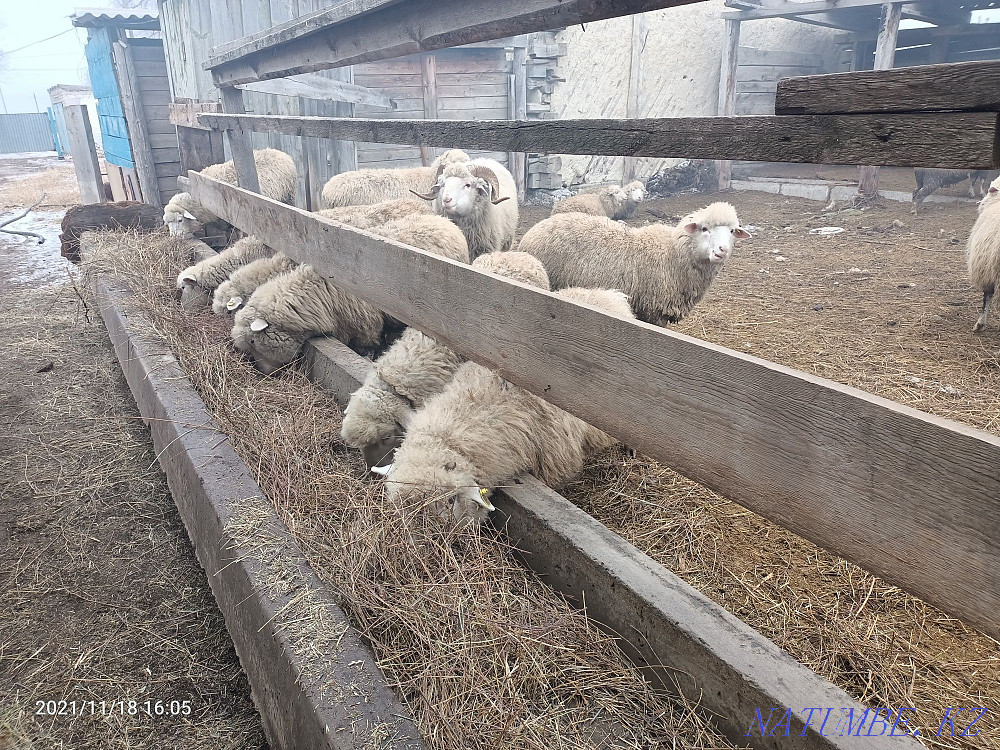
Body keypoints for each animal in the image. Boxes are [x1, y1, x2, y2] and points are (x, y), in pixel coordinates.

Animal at [231, 213, 470, 374]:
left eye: (253, 341)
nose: (264, 373)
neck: (321, 295)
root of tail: (442, 219)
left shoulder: (366, 329)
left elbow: (367, 349)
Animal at [517, 202, 751, 326]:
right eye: (704, 229)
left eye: (732, 231)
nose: (722, 250)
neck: (673, 254)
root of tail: (535, 229)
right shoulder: (654, 312)